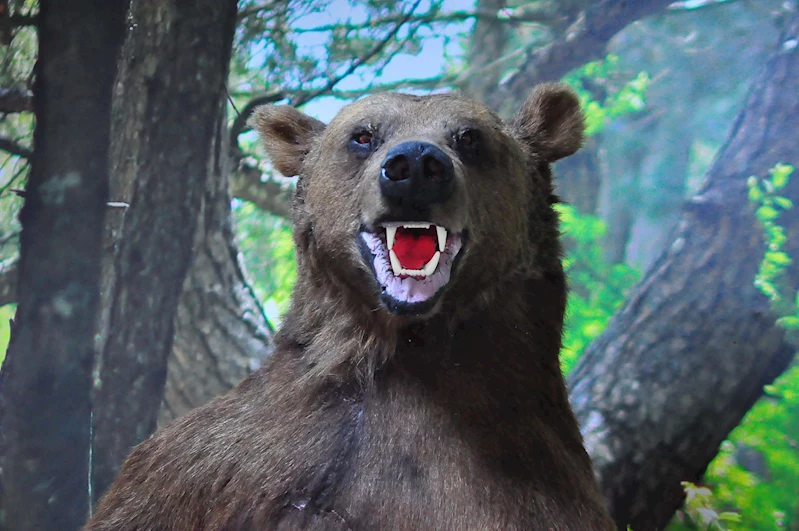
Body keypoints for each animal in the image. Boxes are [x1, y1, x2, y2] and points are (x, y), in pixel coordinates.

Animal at [84, 83, 616, 531]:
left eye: (470, 136)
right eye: (362, 135)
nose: (415, 164)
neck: (401, 347)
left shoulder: (522, 480)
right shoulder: (207, 467)